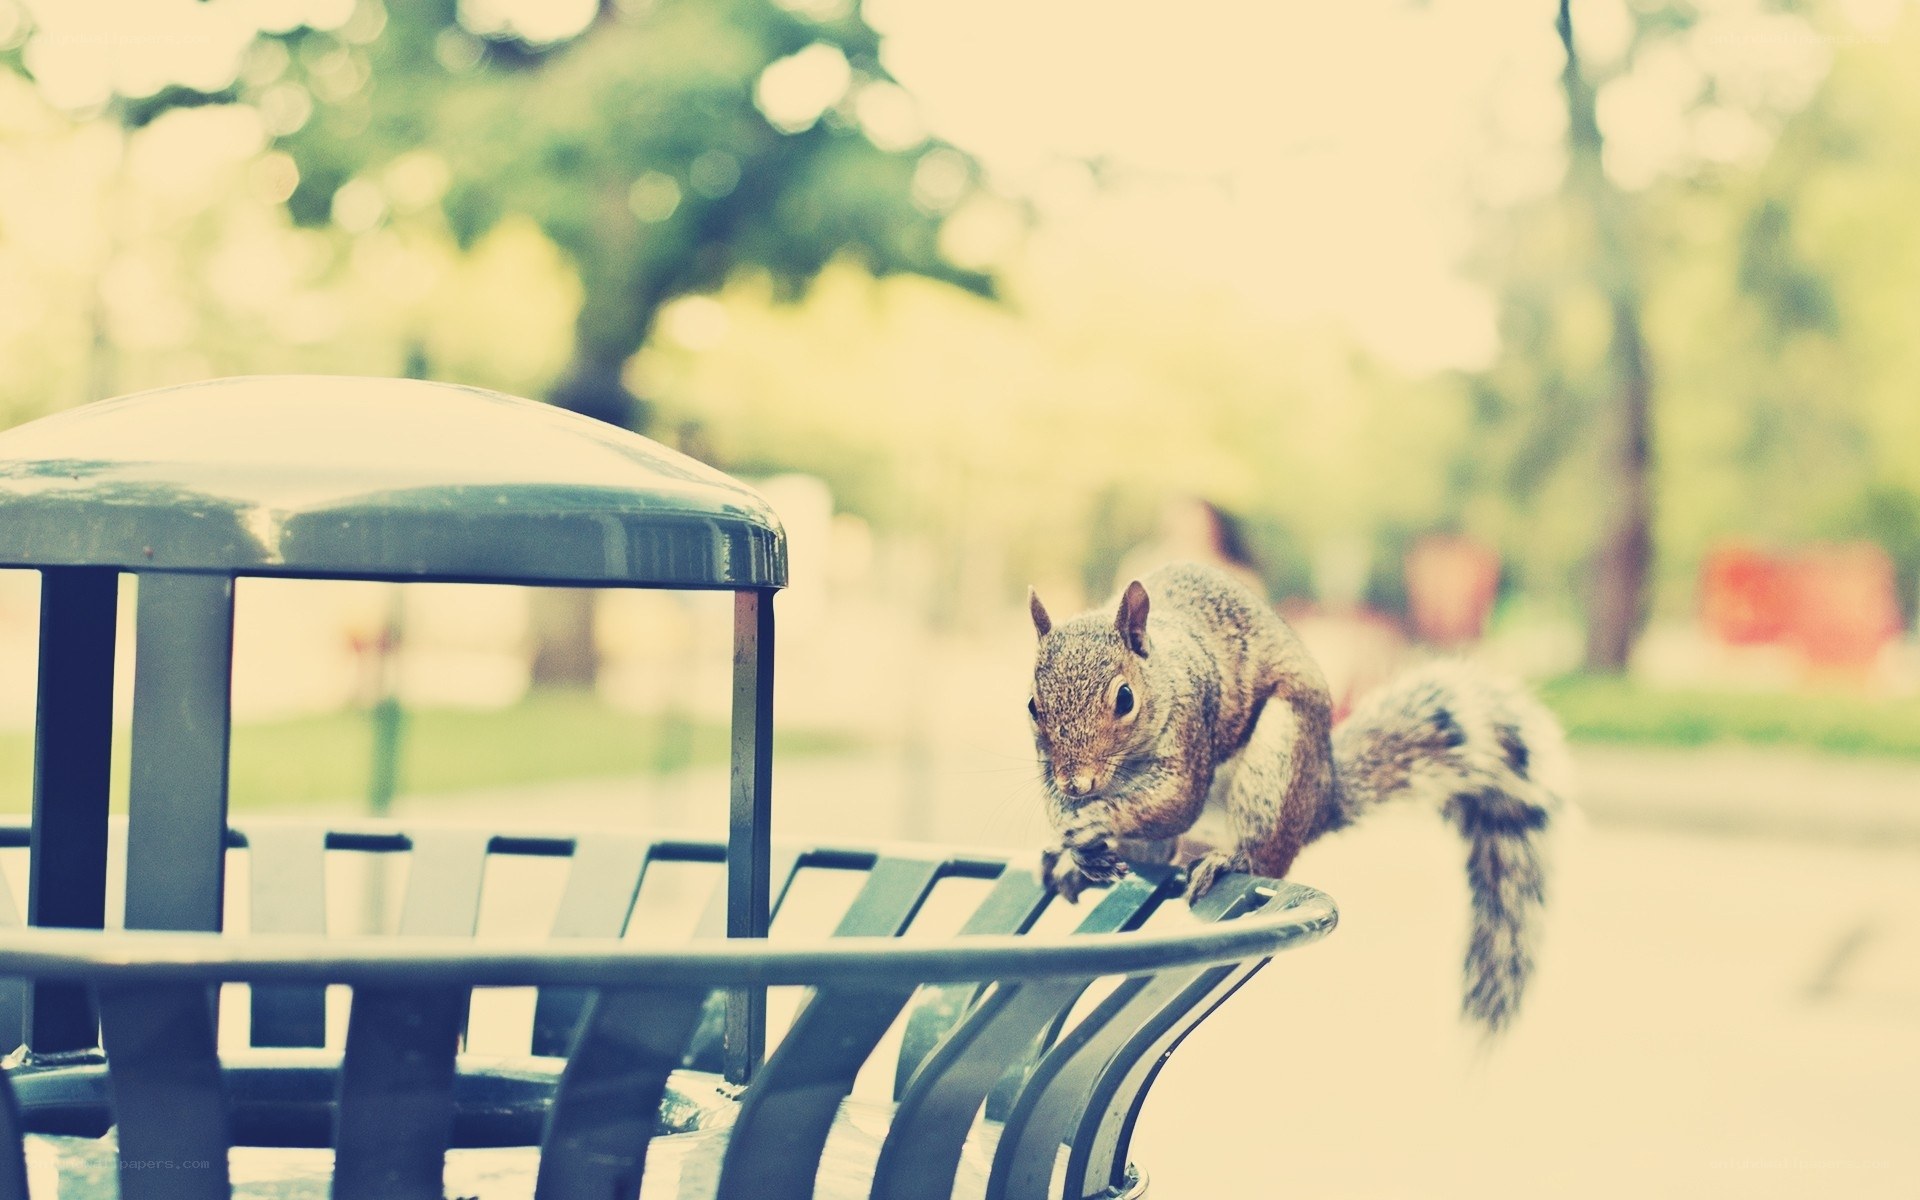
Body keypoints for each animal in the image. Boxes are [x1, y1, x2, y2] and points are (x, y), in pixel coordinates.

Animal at [1026, 561, 1570, 1034]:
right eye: (1032, 705)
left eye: (1124, 699)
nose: (1078, 785)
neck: (1164, 672)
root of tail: (1319, 799)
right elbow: (1054, 800)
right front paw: (1070, 840)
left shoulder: (1191, 727)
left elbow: (1175, 800)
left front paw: (1097, 821)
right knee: (1157, 856)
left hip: (1276, 764)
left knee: (1266, 858)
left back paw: (1228, 860)